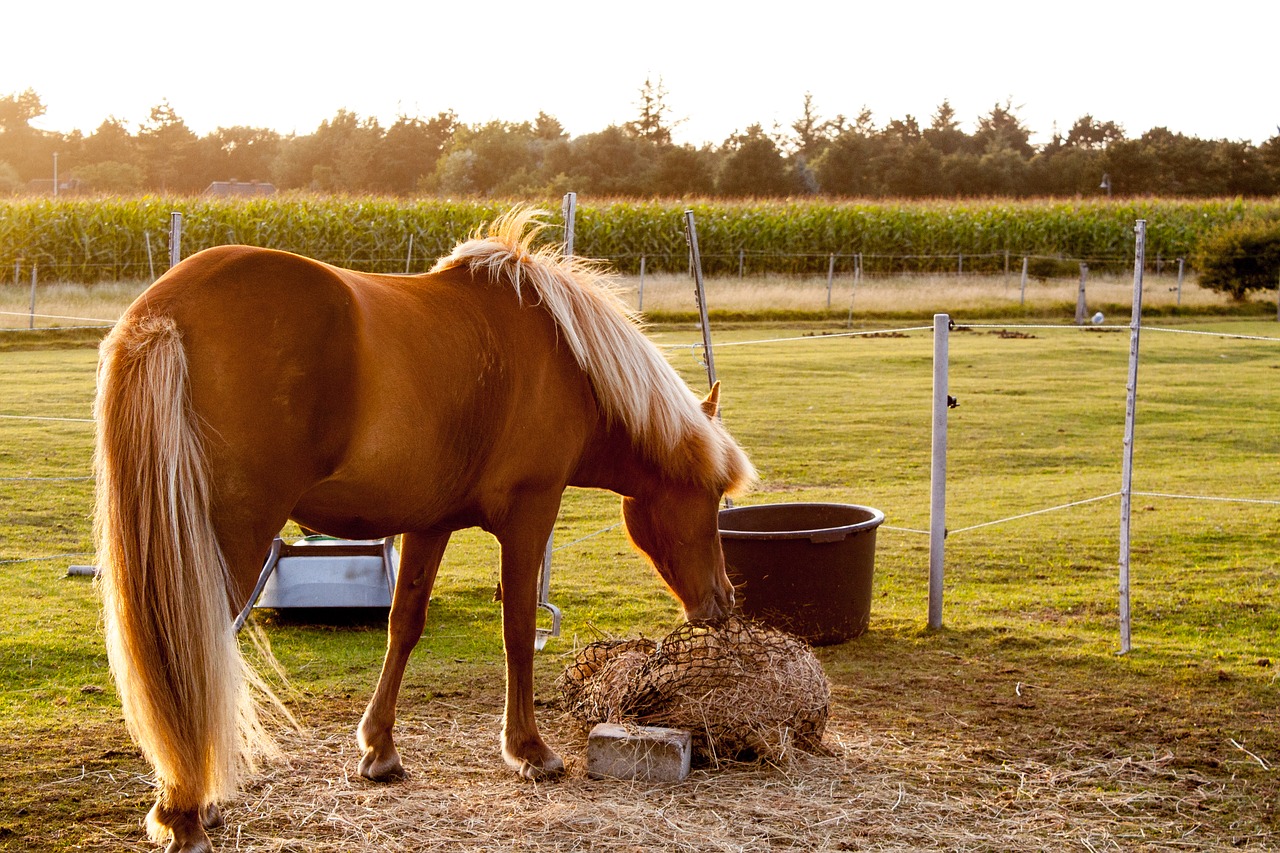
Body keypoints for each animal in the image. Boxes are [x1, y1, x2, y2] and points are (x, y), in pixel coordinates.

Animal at [94, 207, 752, 850]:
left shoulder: (430, 525)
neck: (565, 358)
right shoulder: (530, 515)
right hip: (228, 542)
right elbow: (518, 628)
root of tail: (163, 311)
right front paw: (529, 750)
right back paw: (185, 814)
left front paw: (380, 750)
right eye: (714, 496)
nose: (722, 603)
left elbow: (404, 625)